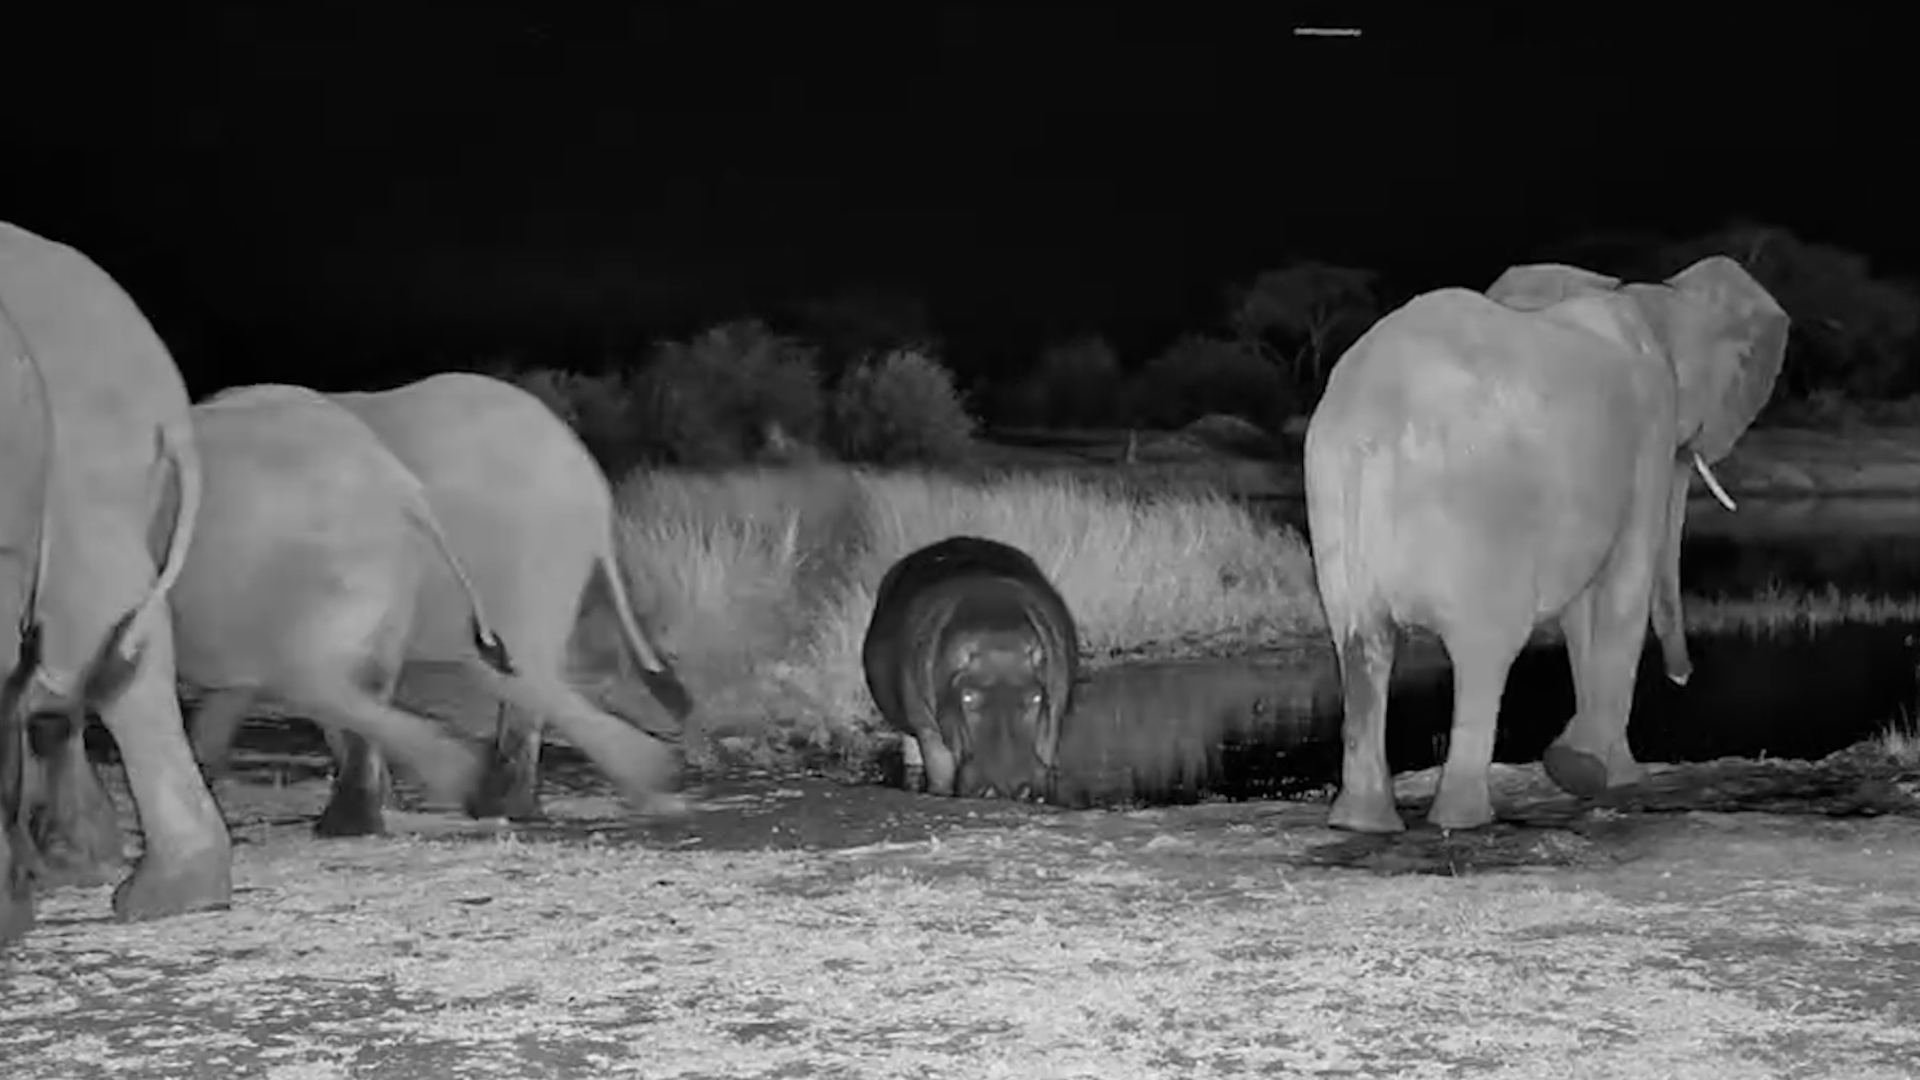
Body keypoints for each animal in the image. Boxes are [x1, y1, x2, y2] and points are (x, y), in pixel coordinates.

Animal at [863, 536, 1080, 799]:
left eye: (1036, 697)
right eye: (967, 697)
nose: (1007, 785)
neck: (997, 631)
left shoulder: (1054, 715)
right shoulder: (929, 730)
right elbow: (940, 775)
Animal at [1303, 255, 1789, 832]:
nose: (1684, 678)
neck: (1649, 297)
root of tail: (1370, 425)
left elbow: (1583, 610)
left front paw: (1598, 774)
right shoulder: (1650, 425)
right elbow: (1623, 583)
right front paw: (1600, 777)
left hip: (1331, 492)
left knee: (1361, 644)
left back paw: (1360, 823)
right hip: (1477, 516)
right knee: (1484, 650)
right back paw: (1463, 820)